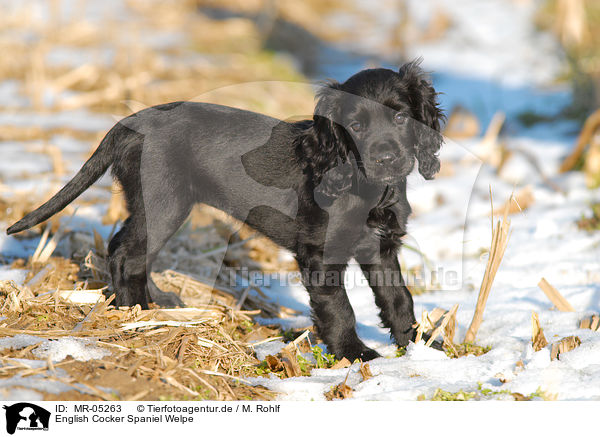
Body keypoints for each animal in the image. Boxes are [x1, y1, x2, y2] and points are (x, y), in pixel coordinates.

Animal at [5, 59, 446, 360]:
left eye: (401, 116)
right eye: (354, 126)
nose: (387, 158)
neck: (366, 187)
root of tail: (131, 122)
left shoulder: (381, 248)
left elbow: (398, 300)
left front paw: (422, 347)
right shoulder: (319, 252)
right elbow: (339, 309)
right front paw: (356, 354)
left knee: (130, 252)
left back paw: (159, 305)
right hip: (163, 204)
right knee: (124, 254)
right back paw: (139, 312)